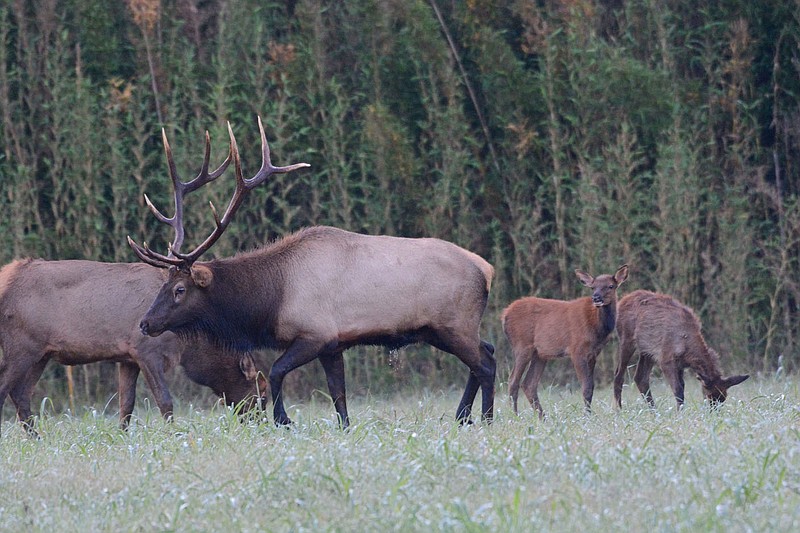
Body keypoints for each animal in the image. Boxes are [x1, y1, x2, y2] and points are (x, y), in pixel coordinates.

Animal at [128, 116, 496, 428]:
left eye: (180, 289)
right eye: (163, 284)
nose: (145, 323)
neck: (270, 300)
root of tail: (487, 269)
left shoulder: (315, 334)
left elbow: (277, 372)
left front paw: (283, 419)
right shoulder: (334, 344)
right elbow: (339, 396)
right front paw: (344, 428)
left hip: (453, 323)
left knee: (486, 364)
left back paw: (486, 418)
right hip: (443, 330)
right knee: (487, 351)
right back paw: (463, 416)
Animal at [504, 264, 628, 418]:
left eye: (611, 286)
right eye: (593, 287)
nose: (596, 298)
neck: (597, 327)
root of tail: (505, 315)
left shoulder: (593, 353)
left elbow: (591, 386)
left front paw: (588, 413)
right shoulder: (577, 350)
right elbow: (586, 386)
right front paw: (587, 416)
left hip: (540, 354)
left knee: (529, 384)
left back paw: (542, 417)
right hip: (522, 345)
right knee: (513, 380)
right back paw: (515, 416)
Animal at [612, 290, 752, 408]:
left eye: (723, 398)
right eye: (709, 396)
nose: (714, 412)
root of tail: (622, 301)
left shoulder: (680, 365)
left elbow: (682, 388)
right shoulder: (666, 360)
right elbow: (678, 390)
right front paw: (680, 412)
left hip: (647, 351)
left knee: (640, 378)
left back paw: (653, 411)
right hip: (627, 339)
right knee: (619, 375)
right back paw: (619, 410)